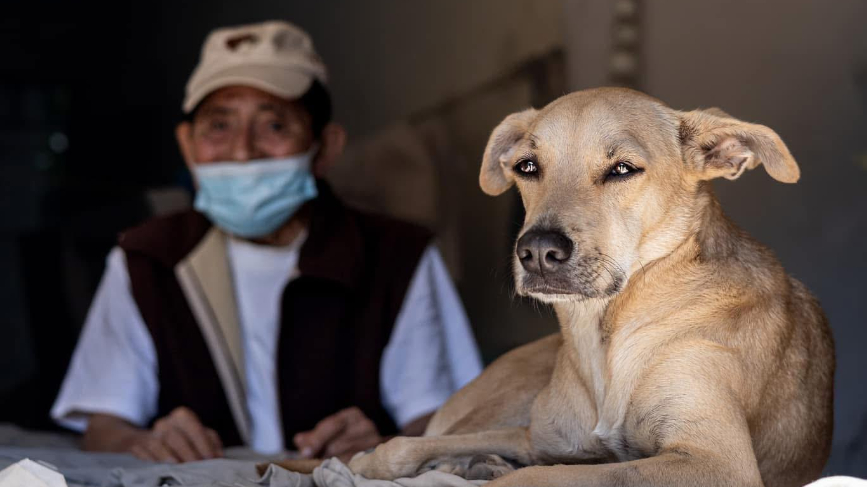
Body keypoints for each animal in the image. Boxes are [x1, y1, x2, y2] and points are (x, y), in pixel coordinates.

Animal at [344, 88, 836, 487]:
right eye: (527, 166)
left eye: (622, 169)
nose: (538, 251)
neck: (607, 336)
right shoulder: (539, 438)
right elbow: (404, 447)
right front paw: (369, 460)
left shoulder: (714, 461)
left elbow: (532, 479)